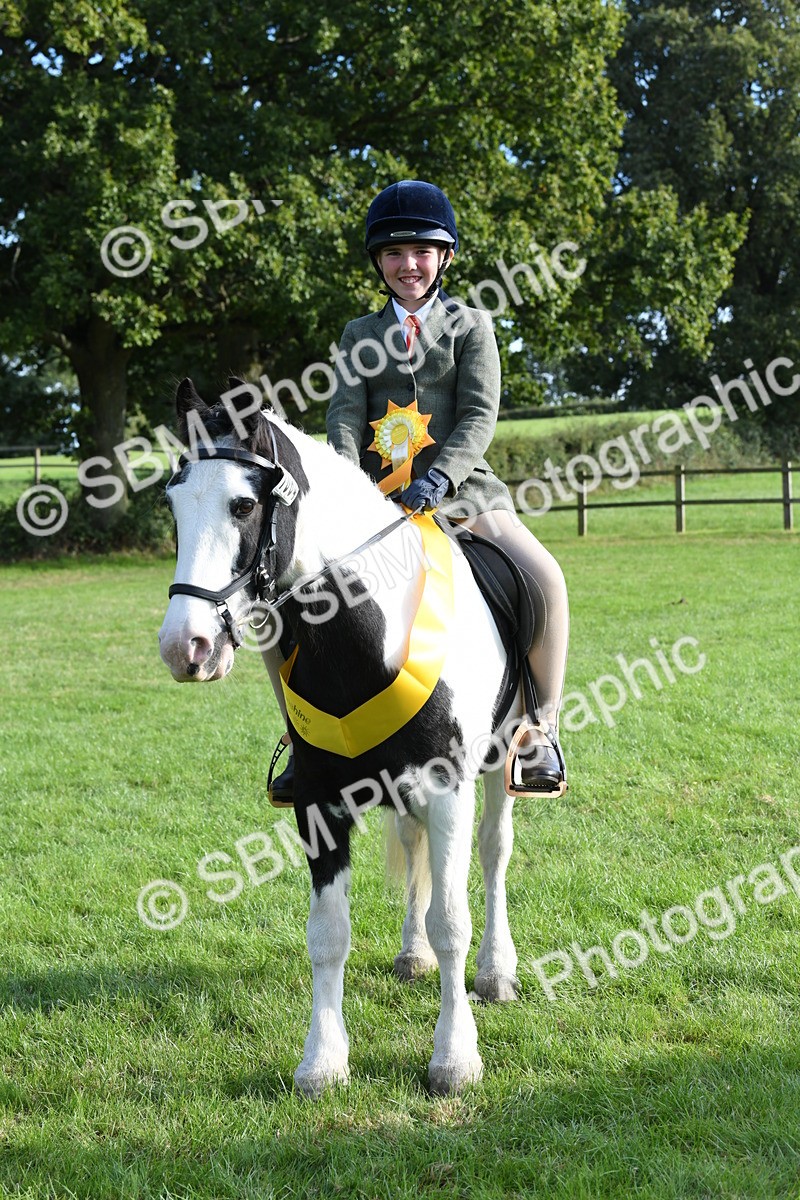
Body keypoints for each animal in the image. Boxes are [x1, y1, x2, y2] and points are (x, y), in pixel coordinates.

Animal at [158, 379, 524, 1096]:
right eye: (174, 503)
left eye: (244, 504)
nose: (186, 647)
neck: (367, 639)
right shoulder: (320, 802)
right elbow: (328, 934)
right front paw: (323, 1062)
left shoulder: (449, 790)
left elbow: (452, 920)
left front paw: (454, 1058)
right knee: (412, 848)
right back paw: (411, 955)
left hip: (502, 760)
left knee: (494, 855)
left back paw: (496, 971)